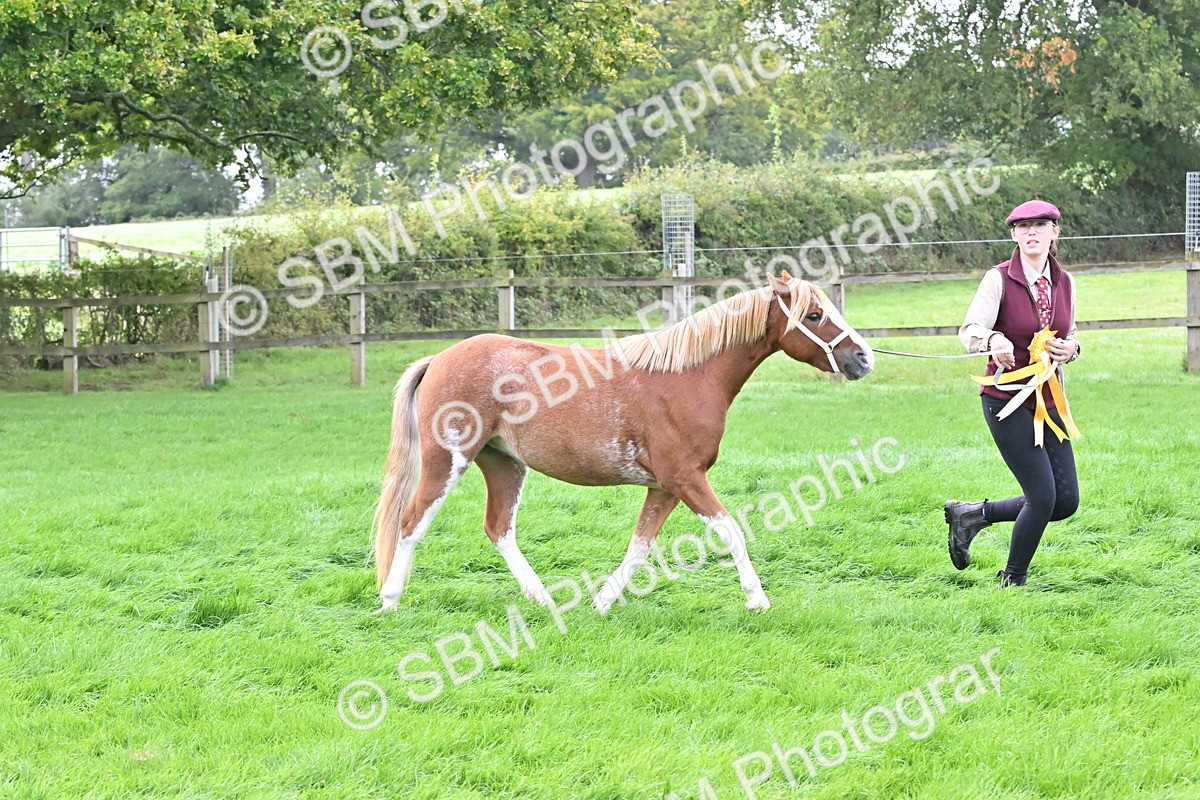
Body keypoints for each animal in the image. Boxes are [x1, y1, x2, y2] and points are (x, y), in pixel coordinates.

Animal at [371, 271, 874, 614]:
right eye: (814, 315)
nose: (863, 358)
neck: (688, 377)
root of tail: (439, 358)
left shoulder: (665, 486)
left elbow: (640, 545)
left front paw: (603, 601)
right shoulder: (685, 478)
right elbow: (730, 531)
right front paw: (757, 599)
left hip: (504, 464)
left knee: (499, 528)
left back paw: (543, 599)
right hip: (448, 461)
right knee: (412, 522)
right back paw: (390, 599)